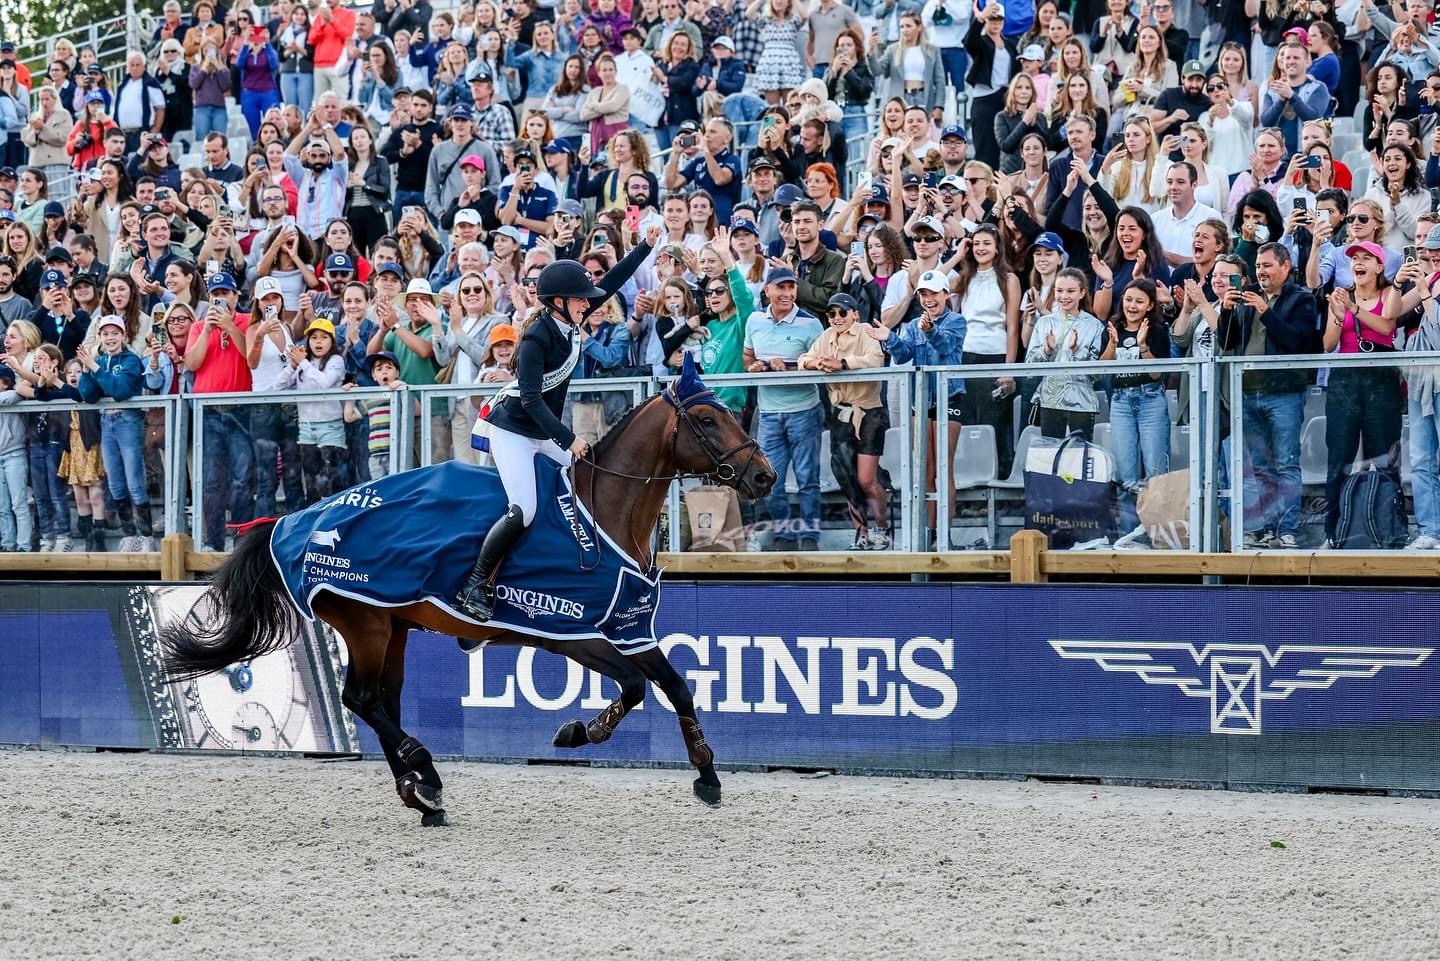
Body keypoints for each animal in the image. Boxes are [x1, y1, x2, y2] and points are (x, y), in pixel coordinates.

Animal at [161, 374, 776, 826]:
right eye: (706, 419)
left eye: (728, 411)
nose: (764, 476)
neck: (602, 510)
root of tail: (293, 521)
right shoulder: (578, 631)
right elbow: (652, 686)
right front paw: (615, 745)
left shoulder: (603, 632)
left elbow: (656, 685)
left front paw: (669, 762)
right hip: (366, 624)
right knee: (361, 698)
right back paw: (423, 772)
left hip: (395, 629)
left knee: (382, 701)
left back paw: (420, 793)